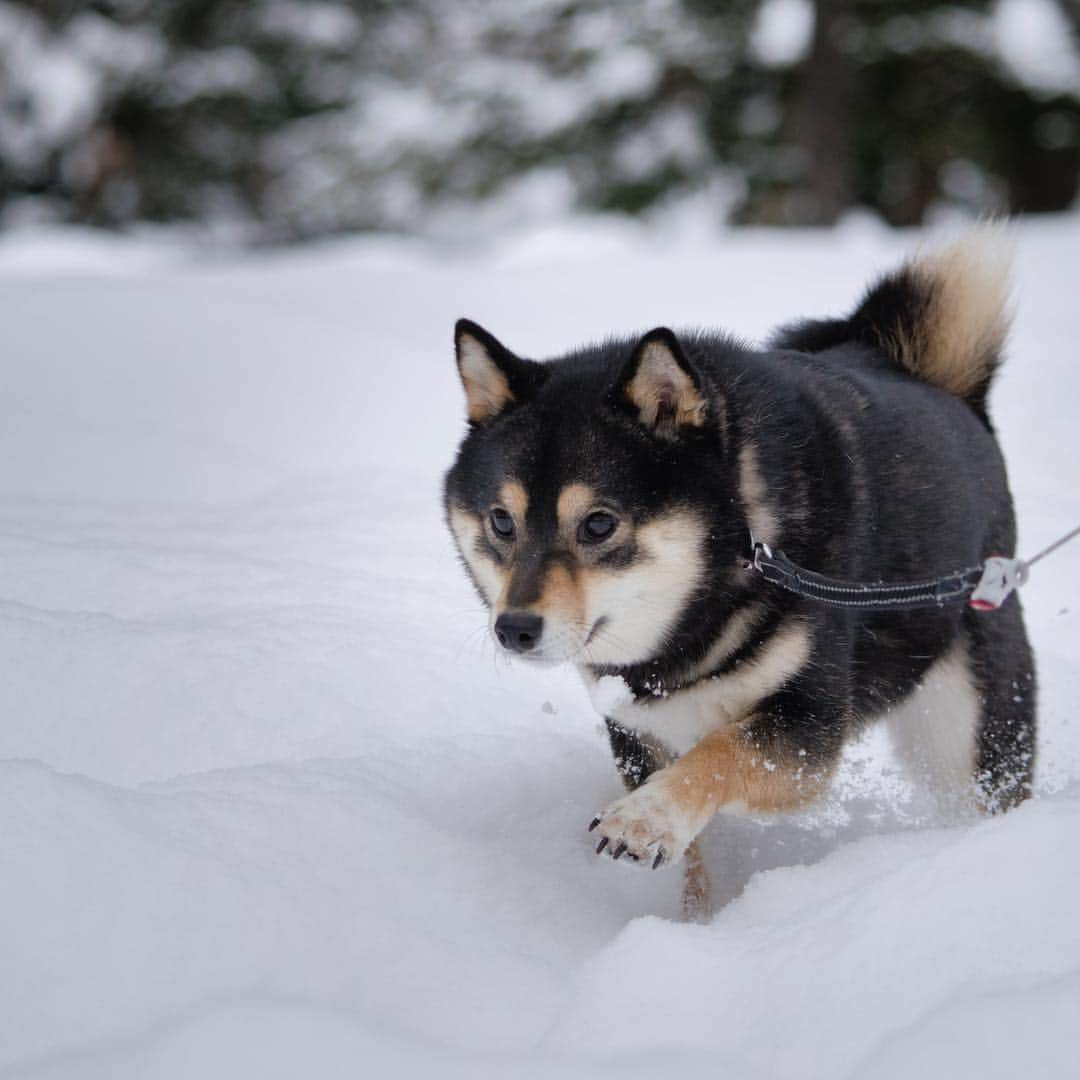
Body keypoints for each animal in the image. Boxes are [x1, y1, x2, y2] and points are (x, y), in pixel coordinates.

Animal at [440, 230, 1036, 920]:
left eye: (598, 524)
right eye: (501, 521)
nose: (514, 628)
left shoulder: (806, 730)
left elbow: (718, 753)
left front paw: (646, 819)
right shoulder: (636, 728)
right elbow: (698, 855)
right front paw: (694, 917)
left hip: (967, 733)